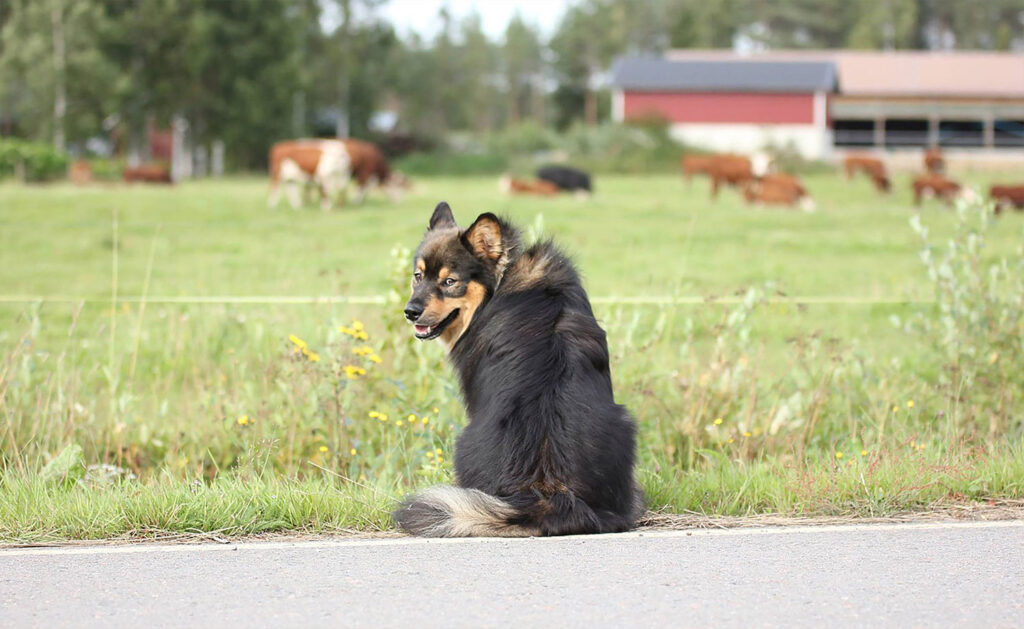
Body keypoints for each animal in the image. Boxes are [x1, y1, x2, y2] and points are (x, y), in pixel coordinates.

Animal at [393, 201, 638, 536]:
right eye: (418, 276)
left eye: (449, 282)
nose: (410, 312)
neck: (500, 282)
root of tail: (552, 495)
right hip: (625, 426)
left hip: (463, 443)